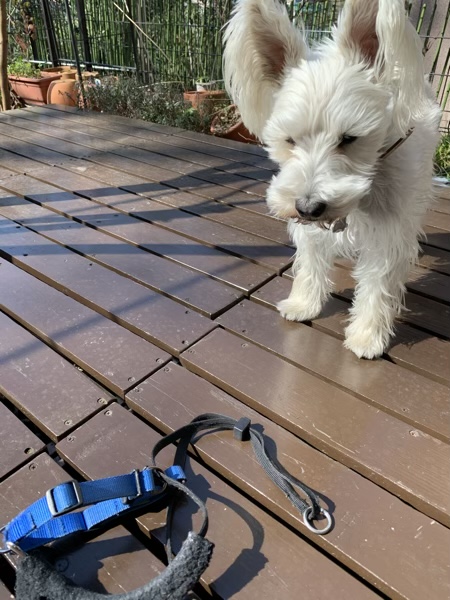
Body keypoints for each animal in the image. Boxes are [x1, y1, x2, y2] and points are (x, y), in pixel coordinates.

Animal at [223, 0, 441, 359]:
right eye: (289, 139)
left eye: (349, 138)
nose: (309, 208)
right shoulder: (307, 223)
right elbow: (311, 261)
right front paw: (303, 303)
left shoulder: (388, 231)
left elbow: (378, 282)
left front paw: (367, 335)